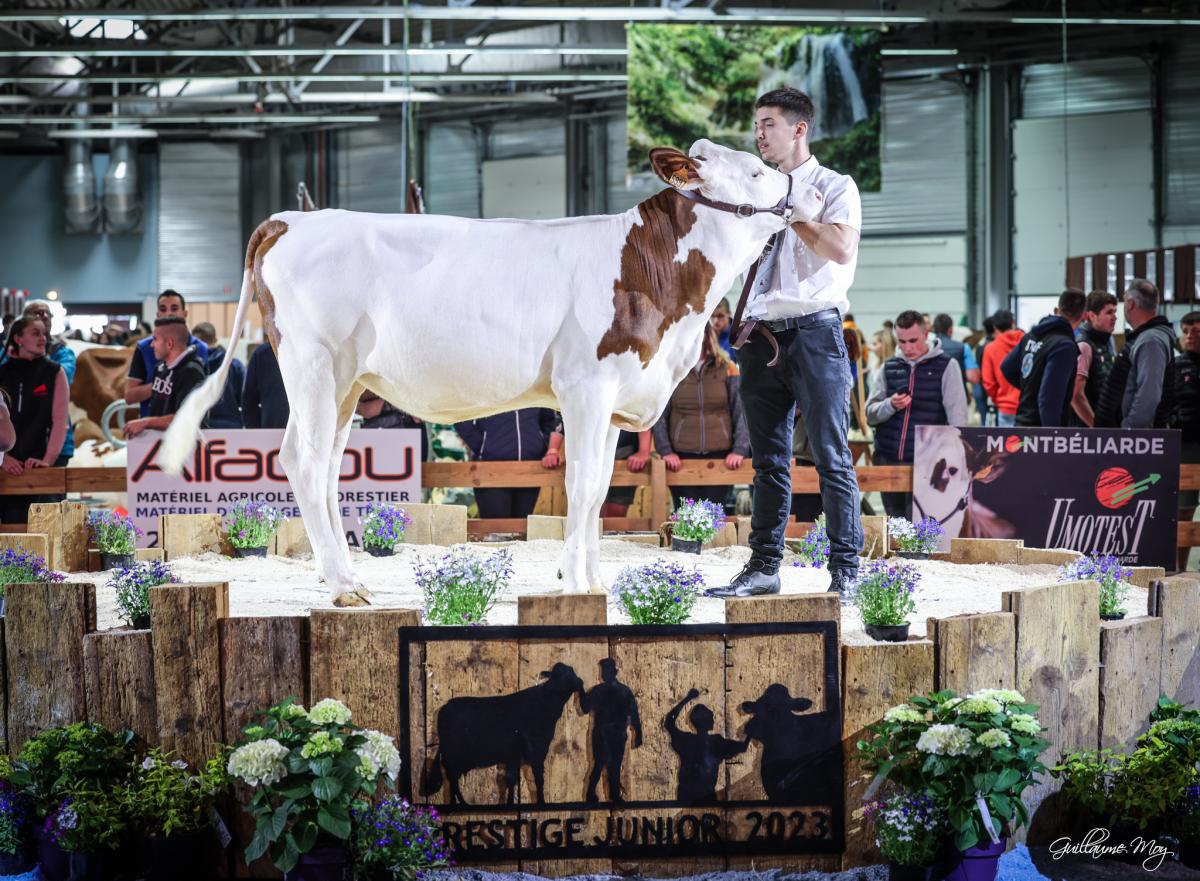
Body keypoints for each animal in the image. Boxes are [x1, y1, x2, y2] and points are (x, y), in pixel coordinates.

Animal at [159, 139, 825, 607]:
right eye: (759, 171)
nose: (816, 190)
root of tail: (292, 220)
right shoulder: (585, 387)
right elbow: (581, 485)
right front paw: (575, 586)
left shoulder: (615, 395)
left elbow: (598, 489)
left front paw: (588, 580)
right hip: (314, 366)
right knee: (301, 459)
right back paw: (343, 588)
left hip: (346, 383)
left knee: (325, 468)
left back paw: (349, 579)